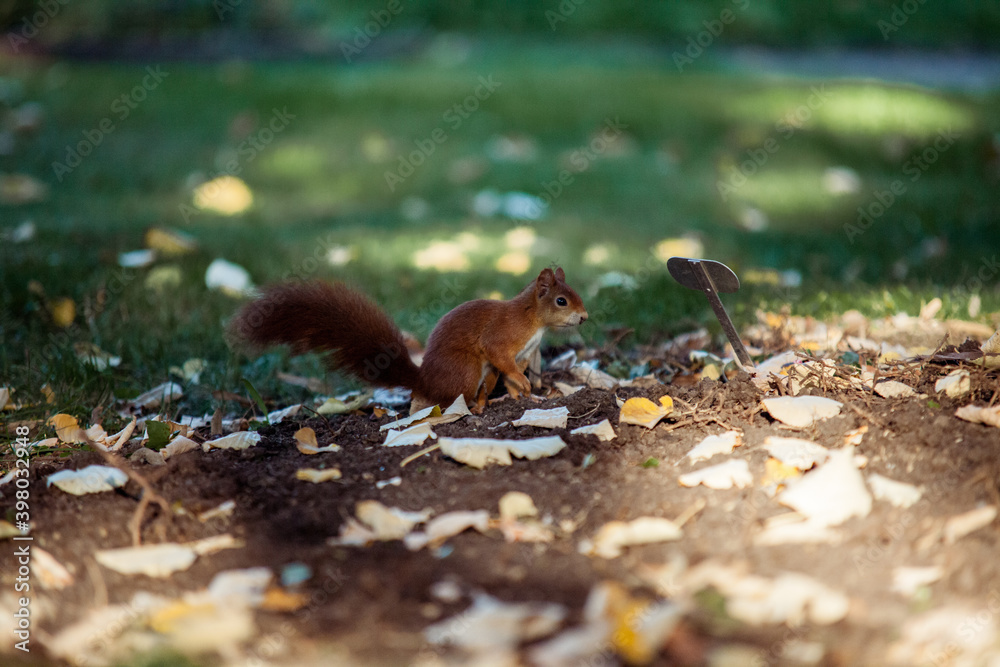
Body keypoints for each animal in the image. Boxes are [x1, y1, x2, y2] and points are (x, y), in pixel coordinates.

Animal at [229, 267, 588, 413]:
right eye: (561, 301)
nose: (585, 317)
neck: (533, 321)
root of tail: (424, 379)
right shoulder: (501, 341)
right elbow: (504, 361)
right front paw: (525, 388)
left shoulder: (526, 353)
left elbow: (514, 378)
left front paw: (526, 397)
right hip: (468, 368)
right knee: (453, 398)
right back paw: (473, 407)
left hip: (481, 374)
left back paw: (488, 403)